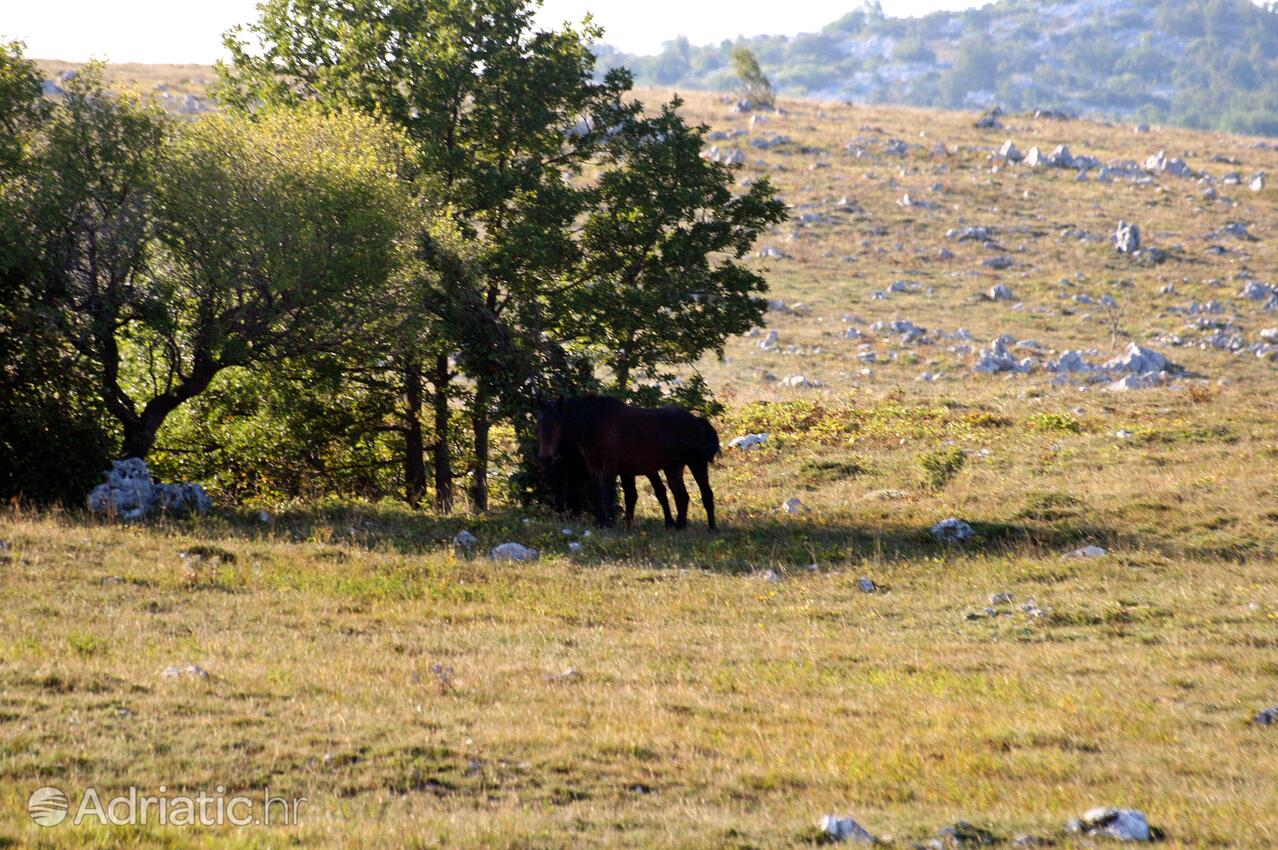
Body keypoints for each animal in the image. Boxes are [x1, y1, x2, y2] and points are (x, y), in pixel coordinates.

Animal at [536, 396, 725, 531]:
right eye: (540, 423)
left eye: (556, 423)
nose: (545, 457)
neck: (596, 423)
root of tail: (697, 420)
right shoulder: (593, 466)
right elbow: (598, 493)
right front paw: (599, 522)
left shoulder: (610, 466)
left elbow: (609, 494)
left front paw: (609, 523)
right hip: (673, 467)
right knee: (681, 496)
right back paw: (679, 527)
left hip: (697, 463)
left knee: (706, 494)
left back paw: (712, 528)